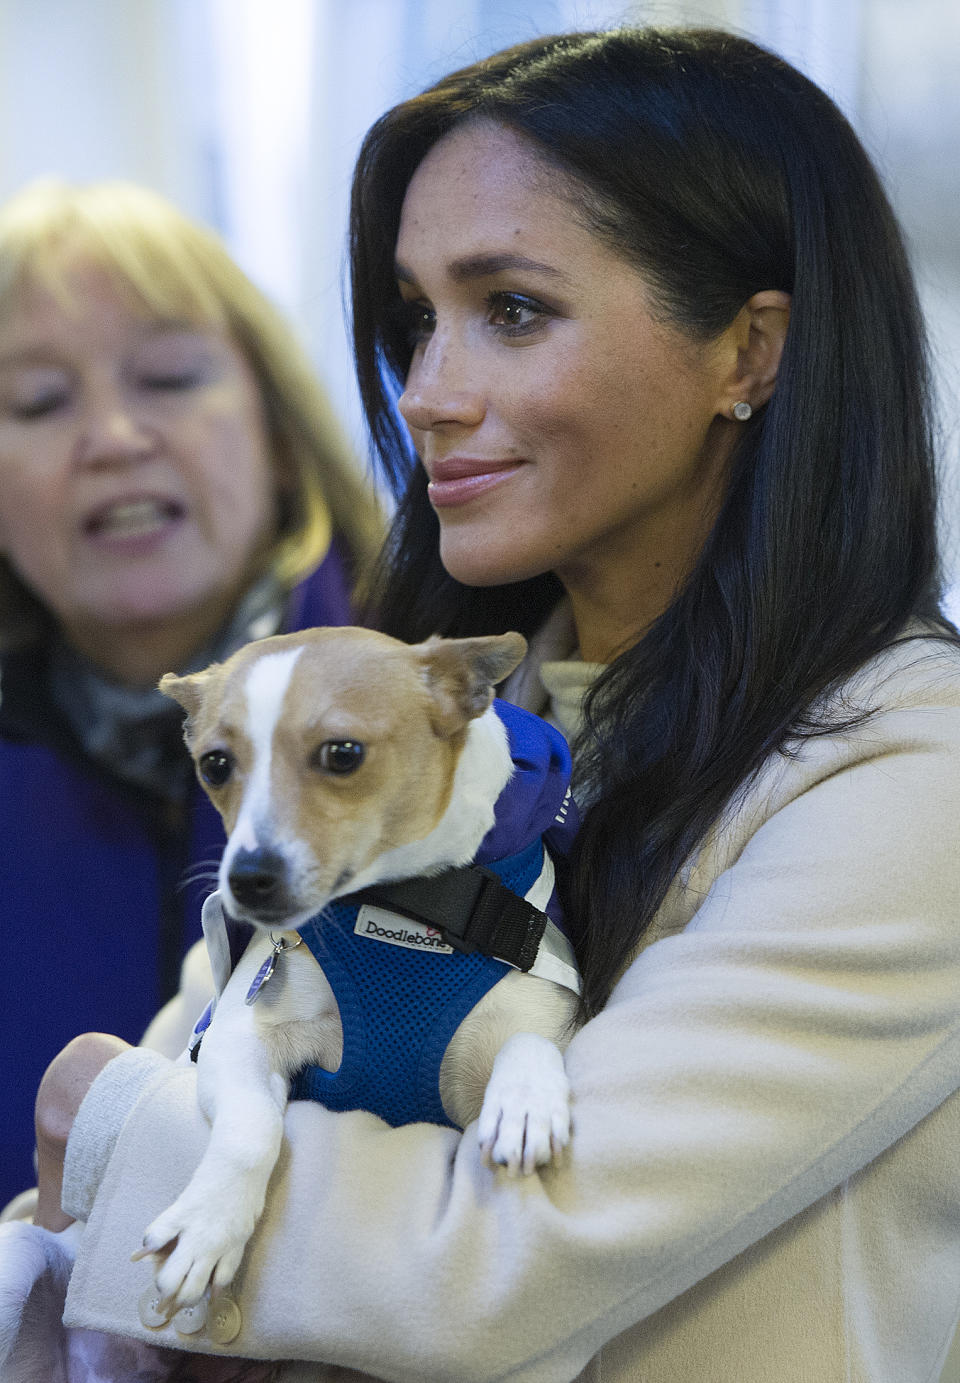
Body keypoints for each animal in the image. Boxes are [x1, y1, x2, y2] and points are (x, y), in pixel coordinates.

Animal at [139, 627, 583, 1305]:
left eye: (342, 754)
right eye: (214, 765)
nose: (246, 878)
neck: (406, 908)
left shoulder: (537, 1012)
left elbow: (528, 1041)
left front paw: (526, 1102)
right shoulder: (239, 1039)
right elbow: (250, 1130)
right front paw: (209, 1224)